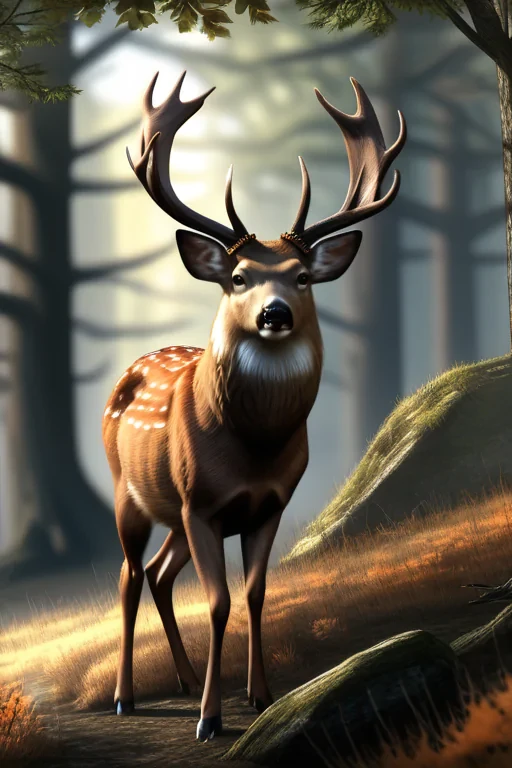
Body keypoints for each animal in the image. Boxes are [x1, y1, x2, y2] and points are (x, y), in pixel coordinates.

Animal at [102, 70, 406, 741]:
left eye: (302, 276)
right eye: (238, 277)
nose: (274, 314)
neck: (253, 448)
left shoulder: (266, 505)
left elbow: (255, 594)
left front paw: (261, 696)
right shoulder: (201, 503)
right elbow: (217, 603)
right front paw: (211, 719)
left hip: (173, 514)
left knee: (159, 573)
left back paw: (184, 679)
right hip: (129, 492)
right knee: (129, 577)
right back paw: (126, 698)